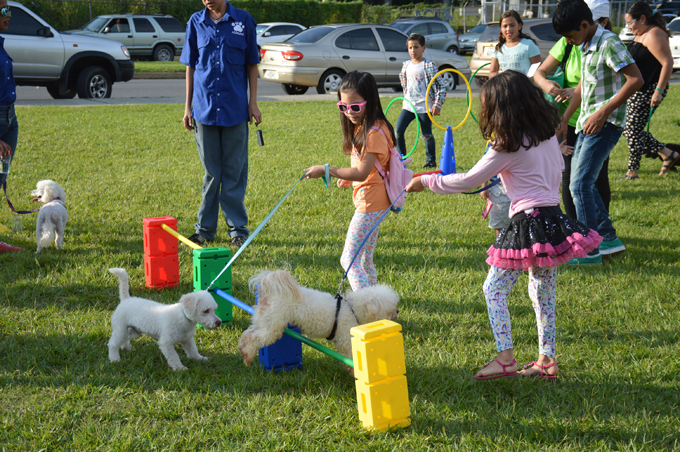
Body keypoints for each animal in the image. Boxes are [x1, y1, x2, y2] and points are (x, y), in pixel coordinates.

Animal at [238, 270, 398, 370]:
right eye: (390, 309)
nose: (397, 312)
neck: (351, 308)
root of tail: (269, 289)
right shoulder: (346, 340)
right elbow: (351, 356)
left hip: (264, 319)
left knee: (248, 333)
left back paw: (244, 353)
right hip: (273, 323)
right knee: (254, 337)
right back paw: (248, 355)